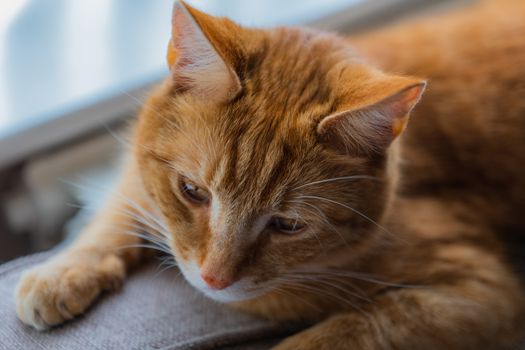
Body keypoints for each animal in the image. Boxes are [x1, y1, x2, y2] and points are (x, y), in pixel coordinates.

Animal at [15, 1, 524, 348]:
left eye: (287, 225)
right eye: (192, 191)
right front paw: (62, 271)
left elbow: (350, 330)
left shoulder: (482, 294)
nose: (213, 279)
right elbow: (120, 207)